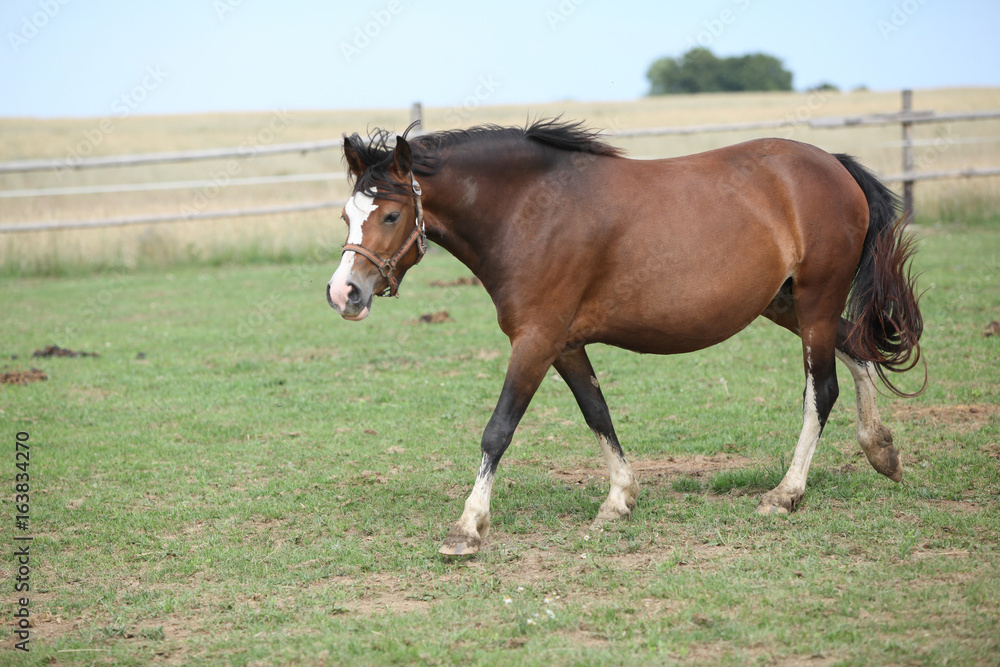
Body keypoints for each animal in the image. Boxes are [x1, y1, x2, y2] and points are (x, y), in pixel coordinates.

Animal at [328, 120, 920, 560]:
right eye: (345, 214)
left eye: (392, 213)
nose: (344, 293)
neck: (530, 210)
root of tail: (832, 164)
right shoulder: (565, 345)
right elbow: (598, 414)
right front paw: (619, 500)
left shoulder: (536, 341)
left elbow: (498, 431)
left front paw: (468, 527)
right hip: (787, 304)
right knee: (858, 352)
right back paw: (881, 450)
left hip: (816, 302)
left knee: (822, 390)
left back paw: (786, 494)